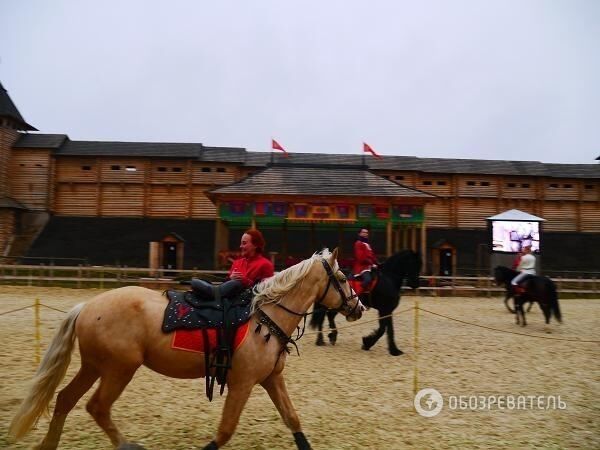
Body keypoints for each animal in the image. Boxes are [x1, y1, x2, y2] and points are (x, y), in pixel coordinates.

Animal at [9, 250, 364, 450]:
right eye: (342, 276)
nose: (358, 307)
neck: (264, 316)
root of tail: (86, 307)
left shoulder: (271, 380)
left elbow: (292, 419)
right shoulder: (242, 384)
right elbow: (225, 431)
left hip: (95, 366)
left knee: (65, 400)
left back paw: (48, 444)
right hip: (119, 369)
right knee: (97, 407)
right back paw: (126, 445)